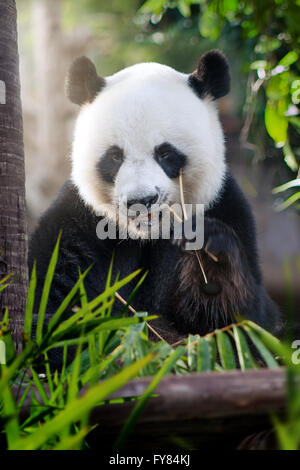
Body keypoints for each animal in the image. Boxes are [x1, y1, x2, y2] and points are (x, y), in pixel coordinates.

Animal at [28, 50, 282, 352]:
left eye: (166, 154)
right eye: (115, 156)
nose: (142, 199)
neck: (146, 235)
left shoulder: (226, 206)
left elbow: (246, 328)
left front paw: (208, 252)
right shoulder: (77, 220)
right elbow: (48, 299)